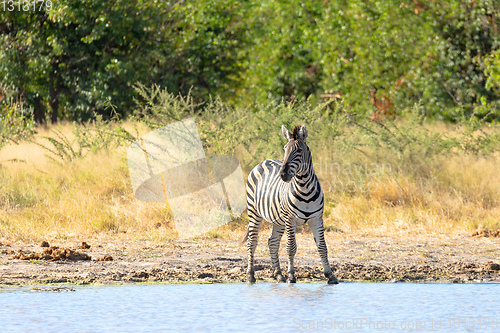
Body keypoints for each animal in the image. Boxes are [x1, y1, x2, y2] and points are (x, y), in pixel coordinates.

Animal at [243, 123, 338, 284]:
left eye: (299, 150)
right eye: (284, 149)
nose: (283, 174)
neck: (305, 188)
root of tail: (264, 161)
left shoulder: (316, 219)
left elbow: (322, 247)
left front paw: (330, 275)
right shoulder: (290, 219)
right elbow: (291, 248)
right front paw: (291, 276)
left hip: (278, 219)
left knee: (273, 242)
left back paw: (278, 275)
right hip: (254, 212)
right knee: (252, 242)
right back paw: (250, 275)